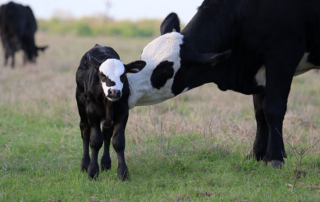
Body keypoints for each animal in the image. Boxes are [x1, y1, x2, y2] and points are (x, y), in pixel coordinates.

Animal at [75, 44, 146, 180]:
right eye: (102, 75)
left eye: (123, 75)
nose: (114, 92)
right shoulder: (92, 114)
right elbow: (95, 140)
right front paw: (92, 171)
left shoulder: (122, 113)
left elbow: (118, 141)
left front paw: (123, 173)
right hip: (81, 106)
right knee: (85, 132)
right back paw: (85, 164)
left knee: (107, 134)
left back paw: (105, 163)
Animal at [127, 0, 320, 167]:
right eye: (142, 55)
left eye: (166, 69)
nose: (128, 89)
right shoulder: (259, 69)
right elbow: (260, 113)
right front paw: (256, 155)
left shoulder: (282, 58)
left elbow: (272, 109)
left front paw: (274, 157)